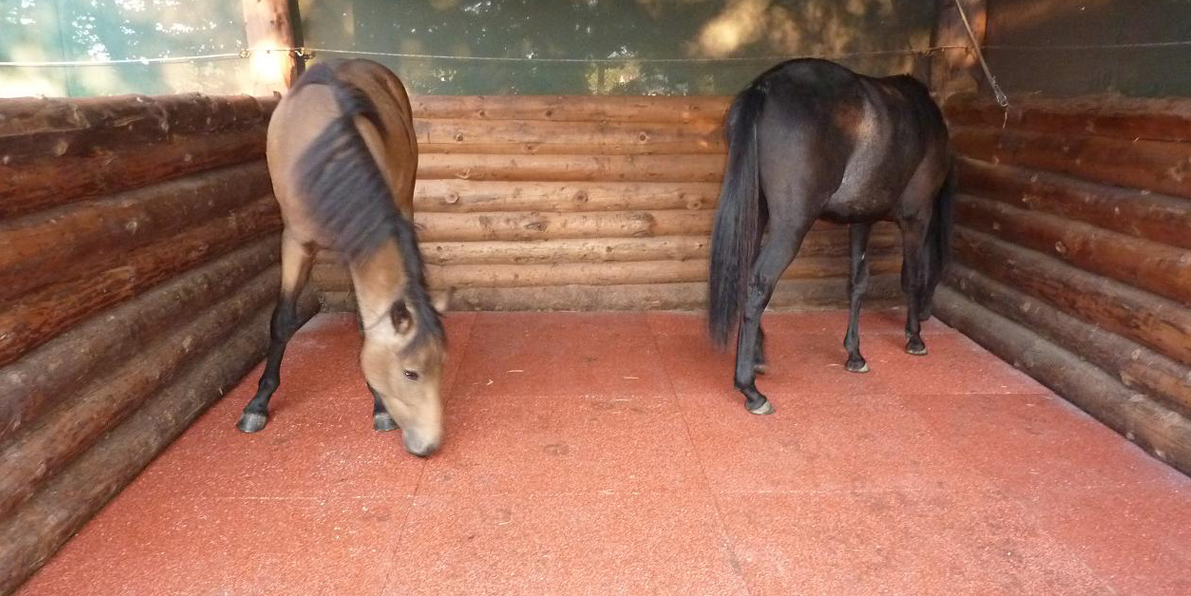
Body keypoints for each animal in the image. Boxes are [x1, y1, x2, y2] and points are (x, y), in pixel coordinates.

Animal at [235, 58, 447, 455]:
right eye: (410, 372)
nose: (430, 445)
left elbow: (365, 328)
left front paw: (379, 407)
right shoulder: (295, 241)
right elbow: (281, 321)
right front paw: (258, 404)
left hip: (404, 196)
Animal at [705, 60, 957, 414]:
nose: (927, 314)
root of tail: (764, 87)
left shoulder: (862, 220)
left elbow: (857, 283)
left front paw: (854, 354)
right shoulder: (916, 217)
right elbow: (913, 277)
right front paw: (915, 337)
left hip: (756, 213)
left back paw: (756, 356)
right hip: (791, 225)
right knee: (758, 284)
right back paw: (750, 390)